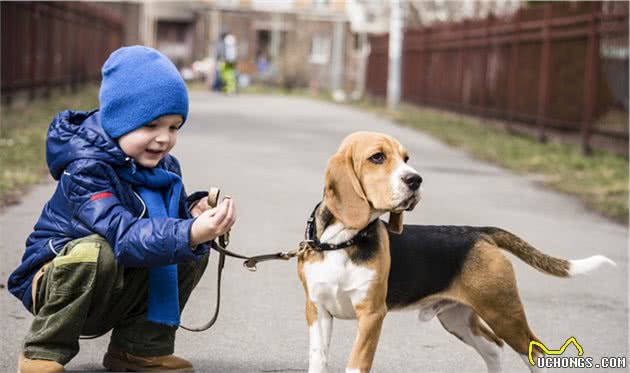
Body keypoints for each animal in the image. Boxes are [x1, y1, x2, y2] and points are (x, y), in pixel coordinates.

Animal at [298, 132, 616, 372]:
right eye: (377, 157)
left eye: (406, 159)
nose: (416, 180)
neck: (342, 242)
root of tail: (479, 232)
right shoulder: (318, 310)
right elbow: (318, 360)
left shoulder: (372, 315)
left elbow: (356, 363)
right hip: (458, 318)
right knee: (493, 347)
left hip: (503, 312)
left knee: (534, 353)